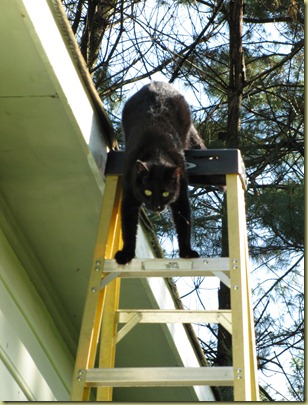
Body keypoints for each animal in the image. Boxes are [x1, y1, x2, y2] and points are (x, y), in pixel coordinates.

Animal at [114, 81, 206, 266]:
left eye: (165, 193)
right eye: (148, 191)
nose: (156, 206)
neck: (156, 151)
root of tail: (157, 82)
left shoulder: (181, 196)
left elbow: (184, 224)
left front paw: (187, 252)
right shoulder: (129, 197)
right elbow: (128, 228)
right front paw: (126, 254)